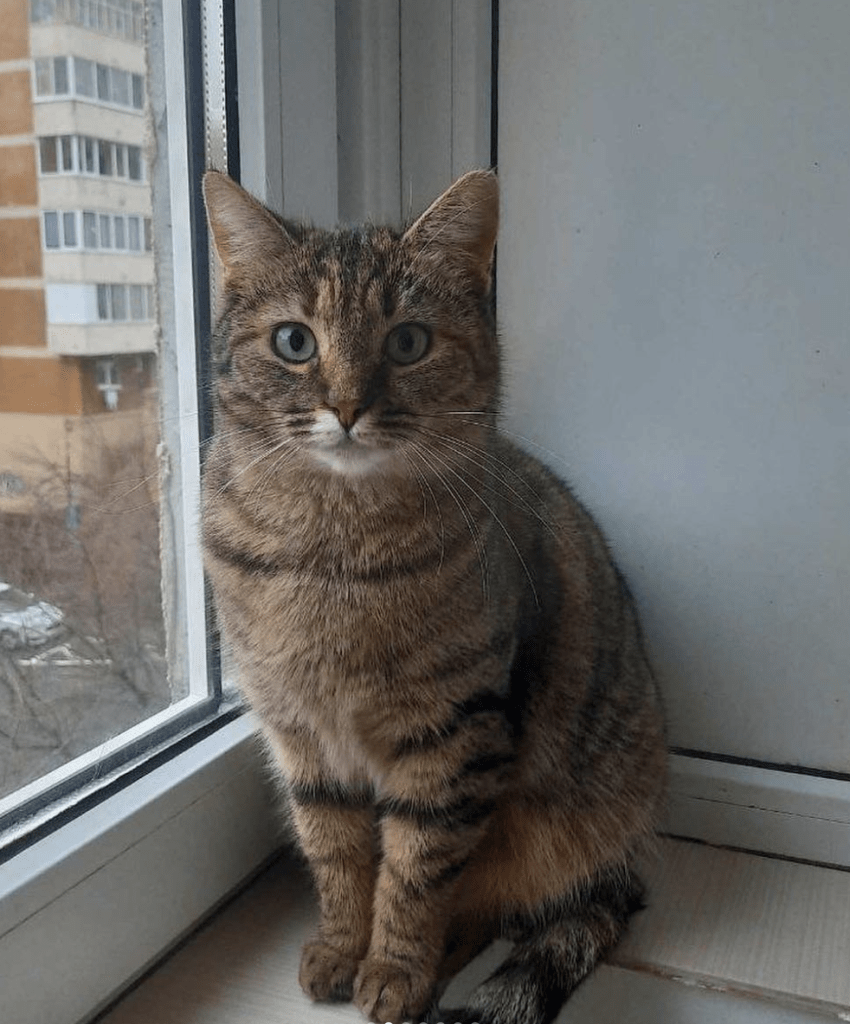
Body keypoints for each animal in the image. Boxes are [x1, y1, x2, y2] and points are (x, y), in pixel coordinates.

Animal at [202, 169, 667, 1024]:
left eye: (408, 342)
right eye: (294, 342)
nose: (347, 407)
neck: (334, 551)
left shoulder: (454, 735)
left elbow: (416, 872)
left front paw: (392, 967)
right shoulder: (301, 735)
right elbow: (337, 854)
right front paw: (342, 947)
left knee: (491, 906)